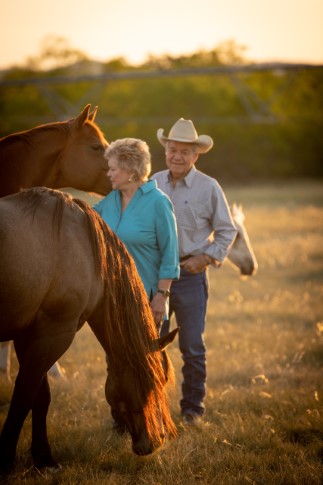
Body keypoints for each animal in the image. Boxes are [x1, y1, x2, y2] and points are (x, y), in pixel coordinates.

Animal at [0, 187, 177, 470]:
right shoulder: (54, 332)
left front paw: (43, 457)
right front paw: (6, 459)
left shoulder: (28, 334)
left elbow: (40, 395)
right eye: (154, 381)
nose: (156, 441)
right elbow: (25, 394)